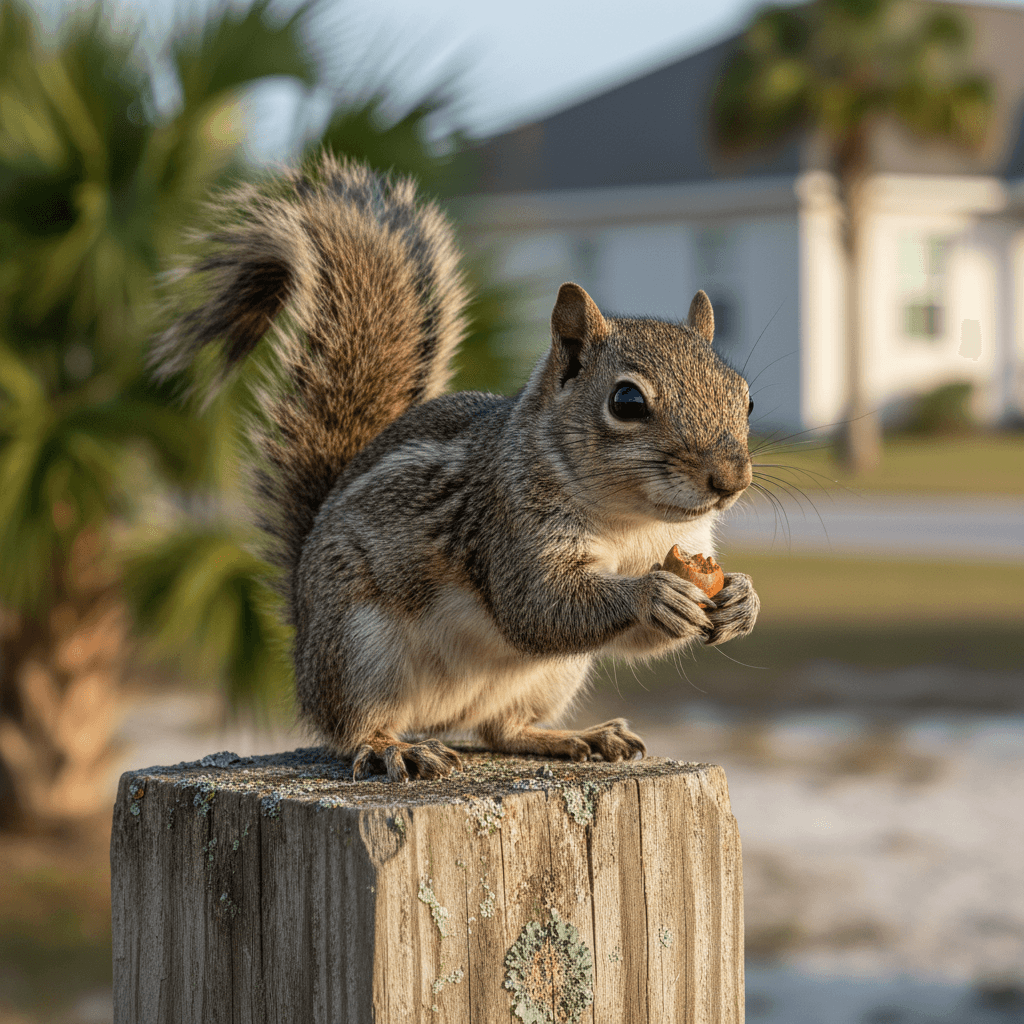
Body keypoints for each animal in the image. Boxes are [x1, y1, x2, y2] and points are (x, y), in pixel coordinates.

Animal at [153, 153, 760, 782]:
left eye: (746, 399)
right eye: (627, 402)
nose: (732, 481)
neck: (633, 520)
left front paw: (743, 600)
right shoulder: (507, 529)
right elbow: (539, 607)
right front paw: (652, 595)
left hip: (553, 675)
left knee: (502, 728)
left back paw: (574, 736)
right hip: (358, 647)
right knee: (351, 730)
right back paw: (395, 747)